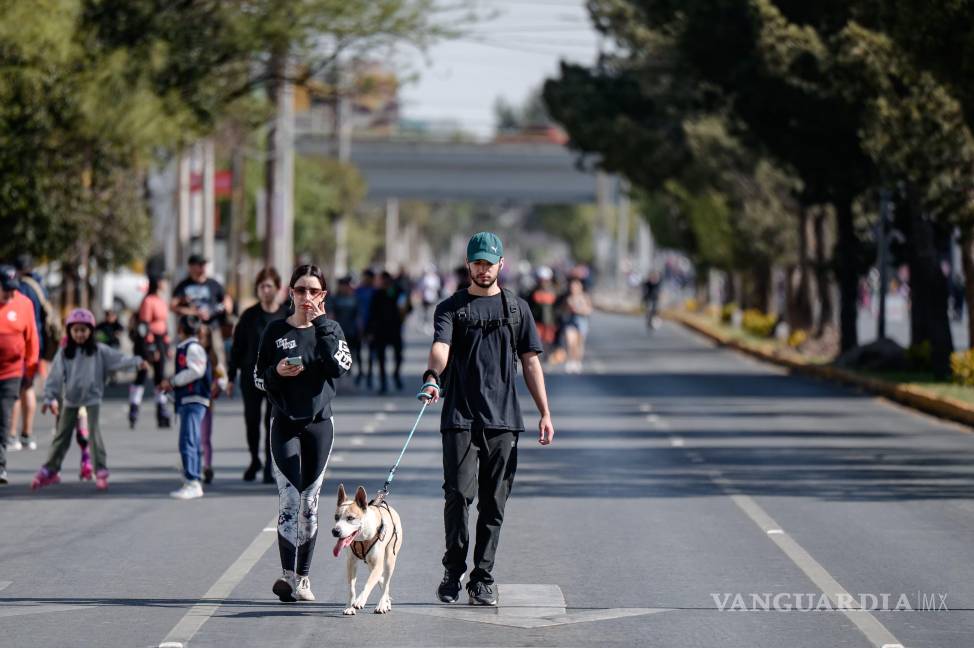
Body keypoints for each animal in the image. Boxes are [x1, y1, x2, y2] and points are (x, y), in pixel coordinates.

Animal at [330, 484, 402, 616]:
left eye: (350, 518)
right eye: (336, 517)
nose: (335, 531)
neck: (362, 538)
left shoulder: (378, 565)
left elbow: (368, 583)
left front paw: (359, 600)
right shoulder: (351, 564)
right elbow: (351, 588)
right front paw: (350, 606)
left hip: (390, 559)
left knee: (386, 582)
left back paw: (382, 605)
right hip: (370, 564)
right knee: (382, 581)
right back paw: (386, 601)